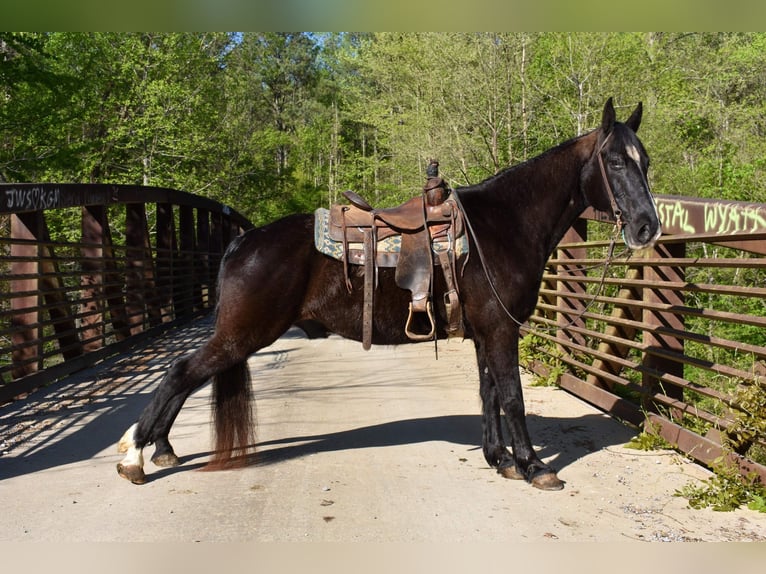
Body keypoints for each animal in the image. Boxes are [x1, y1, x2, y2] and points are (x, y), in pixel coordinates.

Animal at [117, 98, 664, 490]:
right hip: (243, 333)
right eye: (615, 161)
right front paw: (534, 466)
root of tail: (242, 242)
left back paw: (159, 449)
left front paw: (499, 459)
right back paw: (136, 456)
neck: (502, 227)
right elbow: (512, 396)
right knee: (181, 373)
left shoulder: (485, 332)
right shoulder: (502, 329)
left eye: (647, 162)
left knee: (185, 377)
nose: (647, 226)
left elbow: (488, 392)